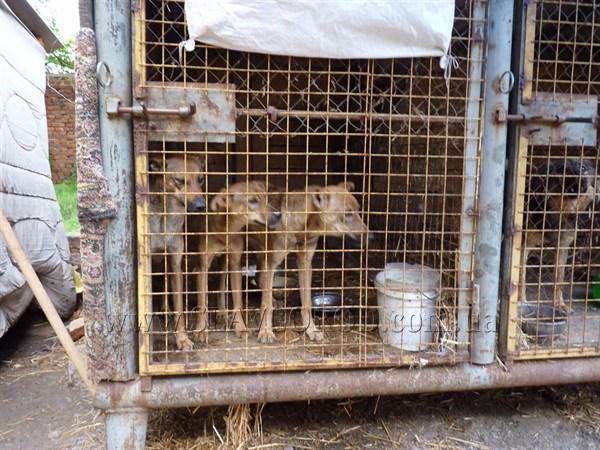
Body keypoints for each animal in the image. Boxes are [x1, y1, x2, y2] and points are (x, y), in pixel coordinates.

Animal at [149, 155, 207, 352]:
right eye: (180, 180)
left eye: (200, 179)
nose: (201, 206)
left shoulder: (175, 266)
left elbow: (180, 309)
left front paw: (182, 339)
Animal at [195, 182, 284, 344]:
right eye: (252, 201)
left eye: (266, 197)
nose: (279, 214)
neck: (225, 230)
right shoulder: (201, 267)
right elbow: (202, 302)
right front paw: (201, 331)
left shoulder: (235, 265)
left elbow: (238, 302)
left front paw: (241, 328)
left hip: (229, 262)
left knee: (223, 286)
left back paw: (222, 313)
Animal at [250, 181, 372, 342]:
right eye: (347, 213)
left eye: (358, 211)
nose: (372, 236)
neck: (302, 228)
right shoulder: (271, 263)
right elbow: (266, 305)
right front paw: (265, 331)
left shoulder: (305, 264)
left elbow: (306, 303)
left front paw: (311, 329)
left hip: (260, 254)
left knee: (258, 279)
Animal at [520, 160, 596, 314]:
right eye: (561, 169)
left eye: (583, 168)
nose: (577, 175)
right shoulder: (523, 244)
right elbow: (520, 277)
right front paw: (521, 302)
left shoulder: (562, 246)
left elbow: (559, 281)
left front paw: (560, 305)